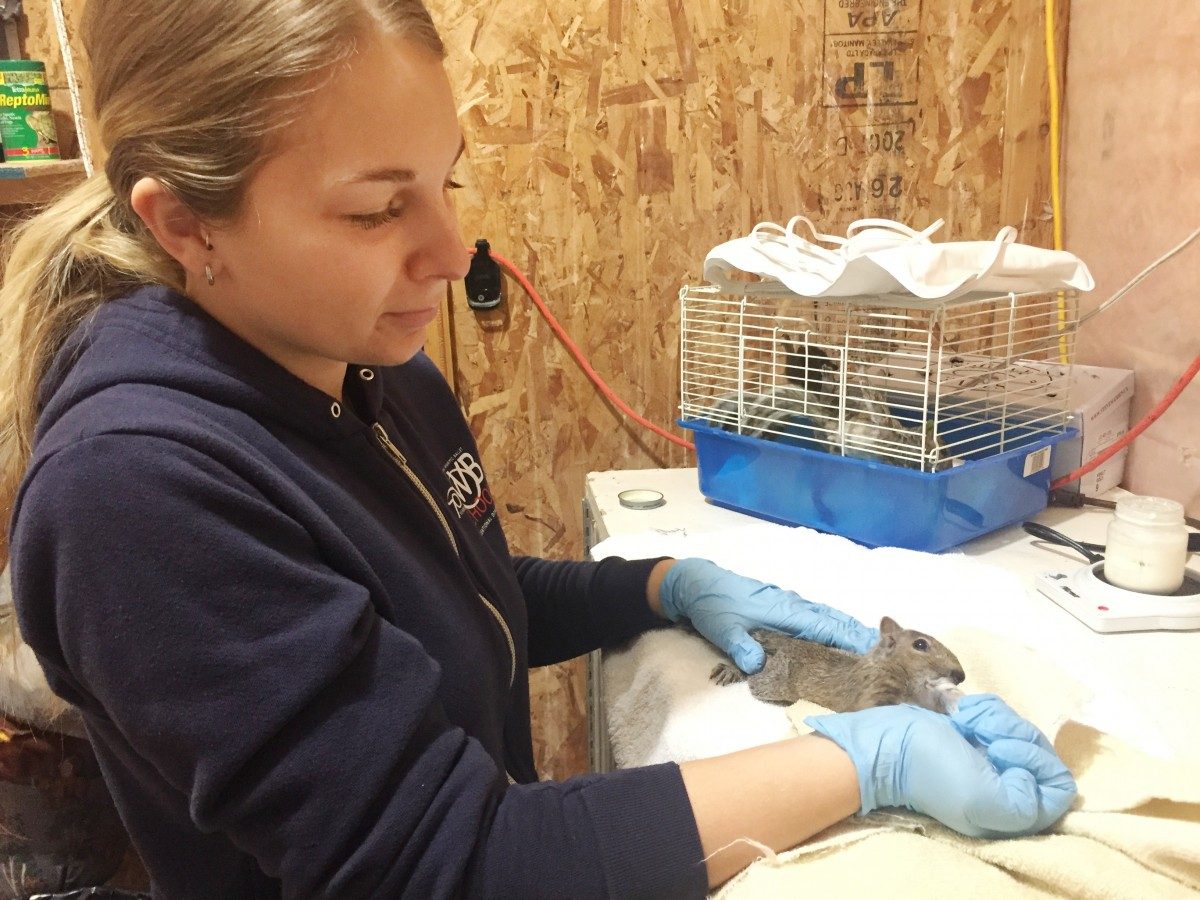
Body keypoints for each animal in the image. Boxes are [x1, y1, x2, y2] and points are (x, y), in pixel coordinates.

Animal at [710, 619, 964, 715]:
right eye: (920, 644)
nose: (960, 675)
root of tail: (788, 643)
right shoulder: (872, 688)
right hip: (773, 682)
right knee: (756, 673)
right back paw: (734, 669)